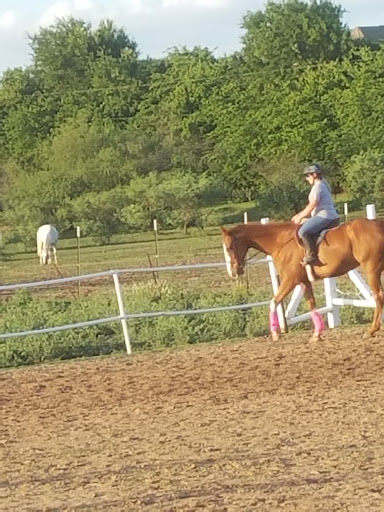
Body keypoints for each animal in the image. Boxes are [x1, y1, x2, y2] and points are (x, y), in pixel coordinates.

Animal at [220, 216, 384, 340]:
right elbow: (311, 304)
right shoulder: (304, 282)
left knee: (378, 296)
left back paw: (371, 330)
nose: (233, 272)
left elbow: (274, 302)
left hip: (371, 269)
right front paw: (317, 334)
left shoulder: (290, 281)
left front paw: (275, 333)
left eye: (229, 248)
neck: (281, 242)